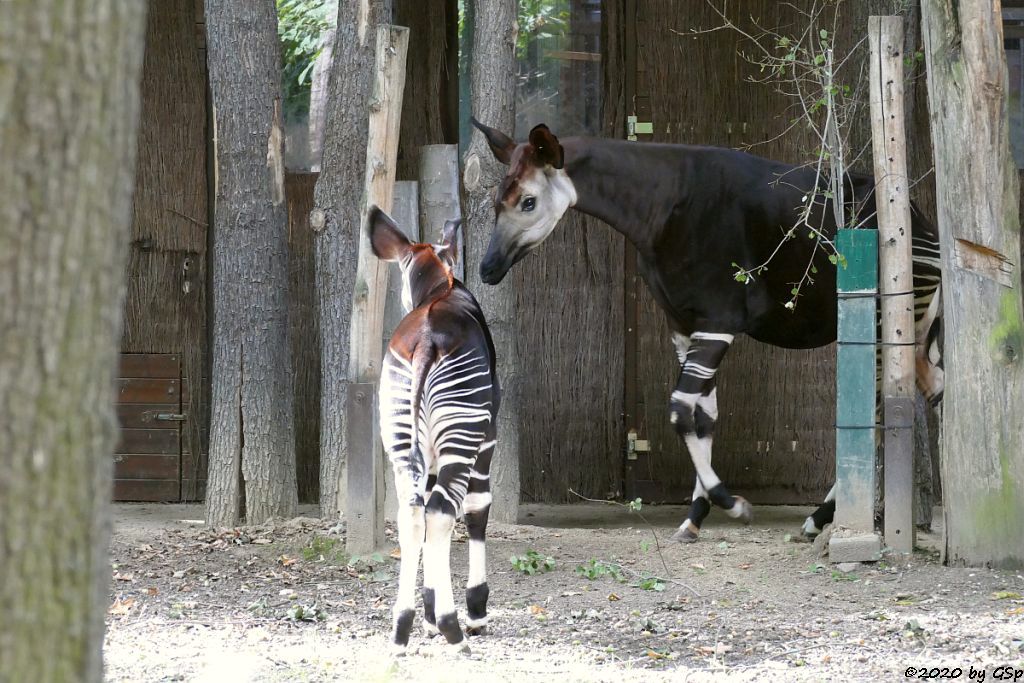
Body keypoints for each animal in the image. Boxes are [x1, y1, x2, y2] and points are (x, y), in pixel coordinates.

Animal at [370, 206, 501, 651]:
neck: (440, 288)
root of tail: (427, 340)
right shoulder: (487, 439)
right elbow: (477, 509)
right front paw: (475, 611)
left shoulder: (424, 452)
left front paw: (426, 615)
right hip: (462, 437)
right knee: (444, 511)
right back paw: (454, 629)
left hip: (399, 437)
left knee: (412, 513)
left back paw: (401, 627)